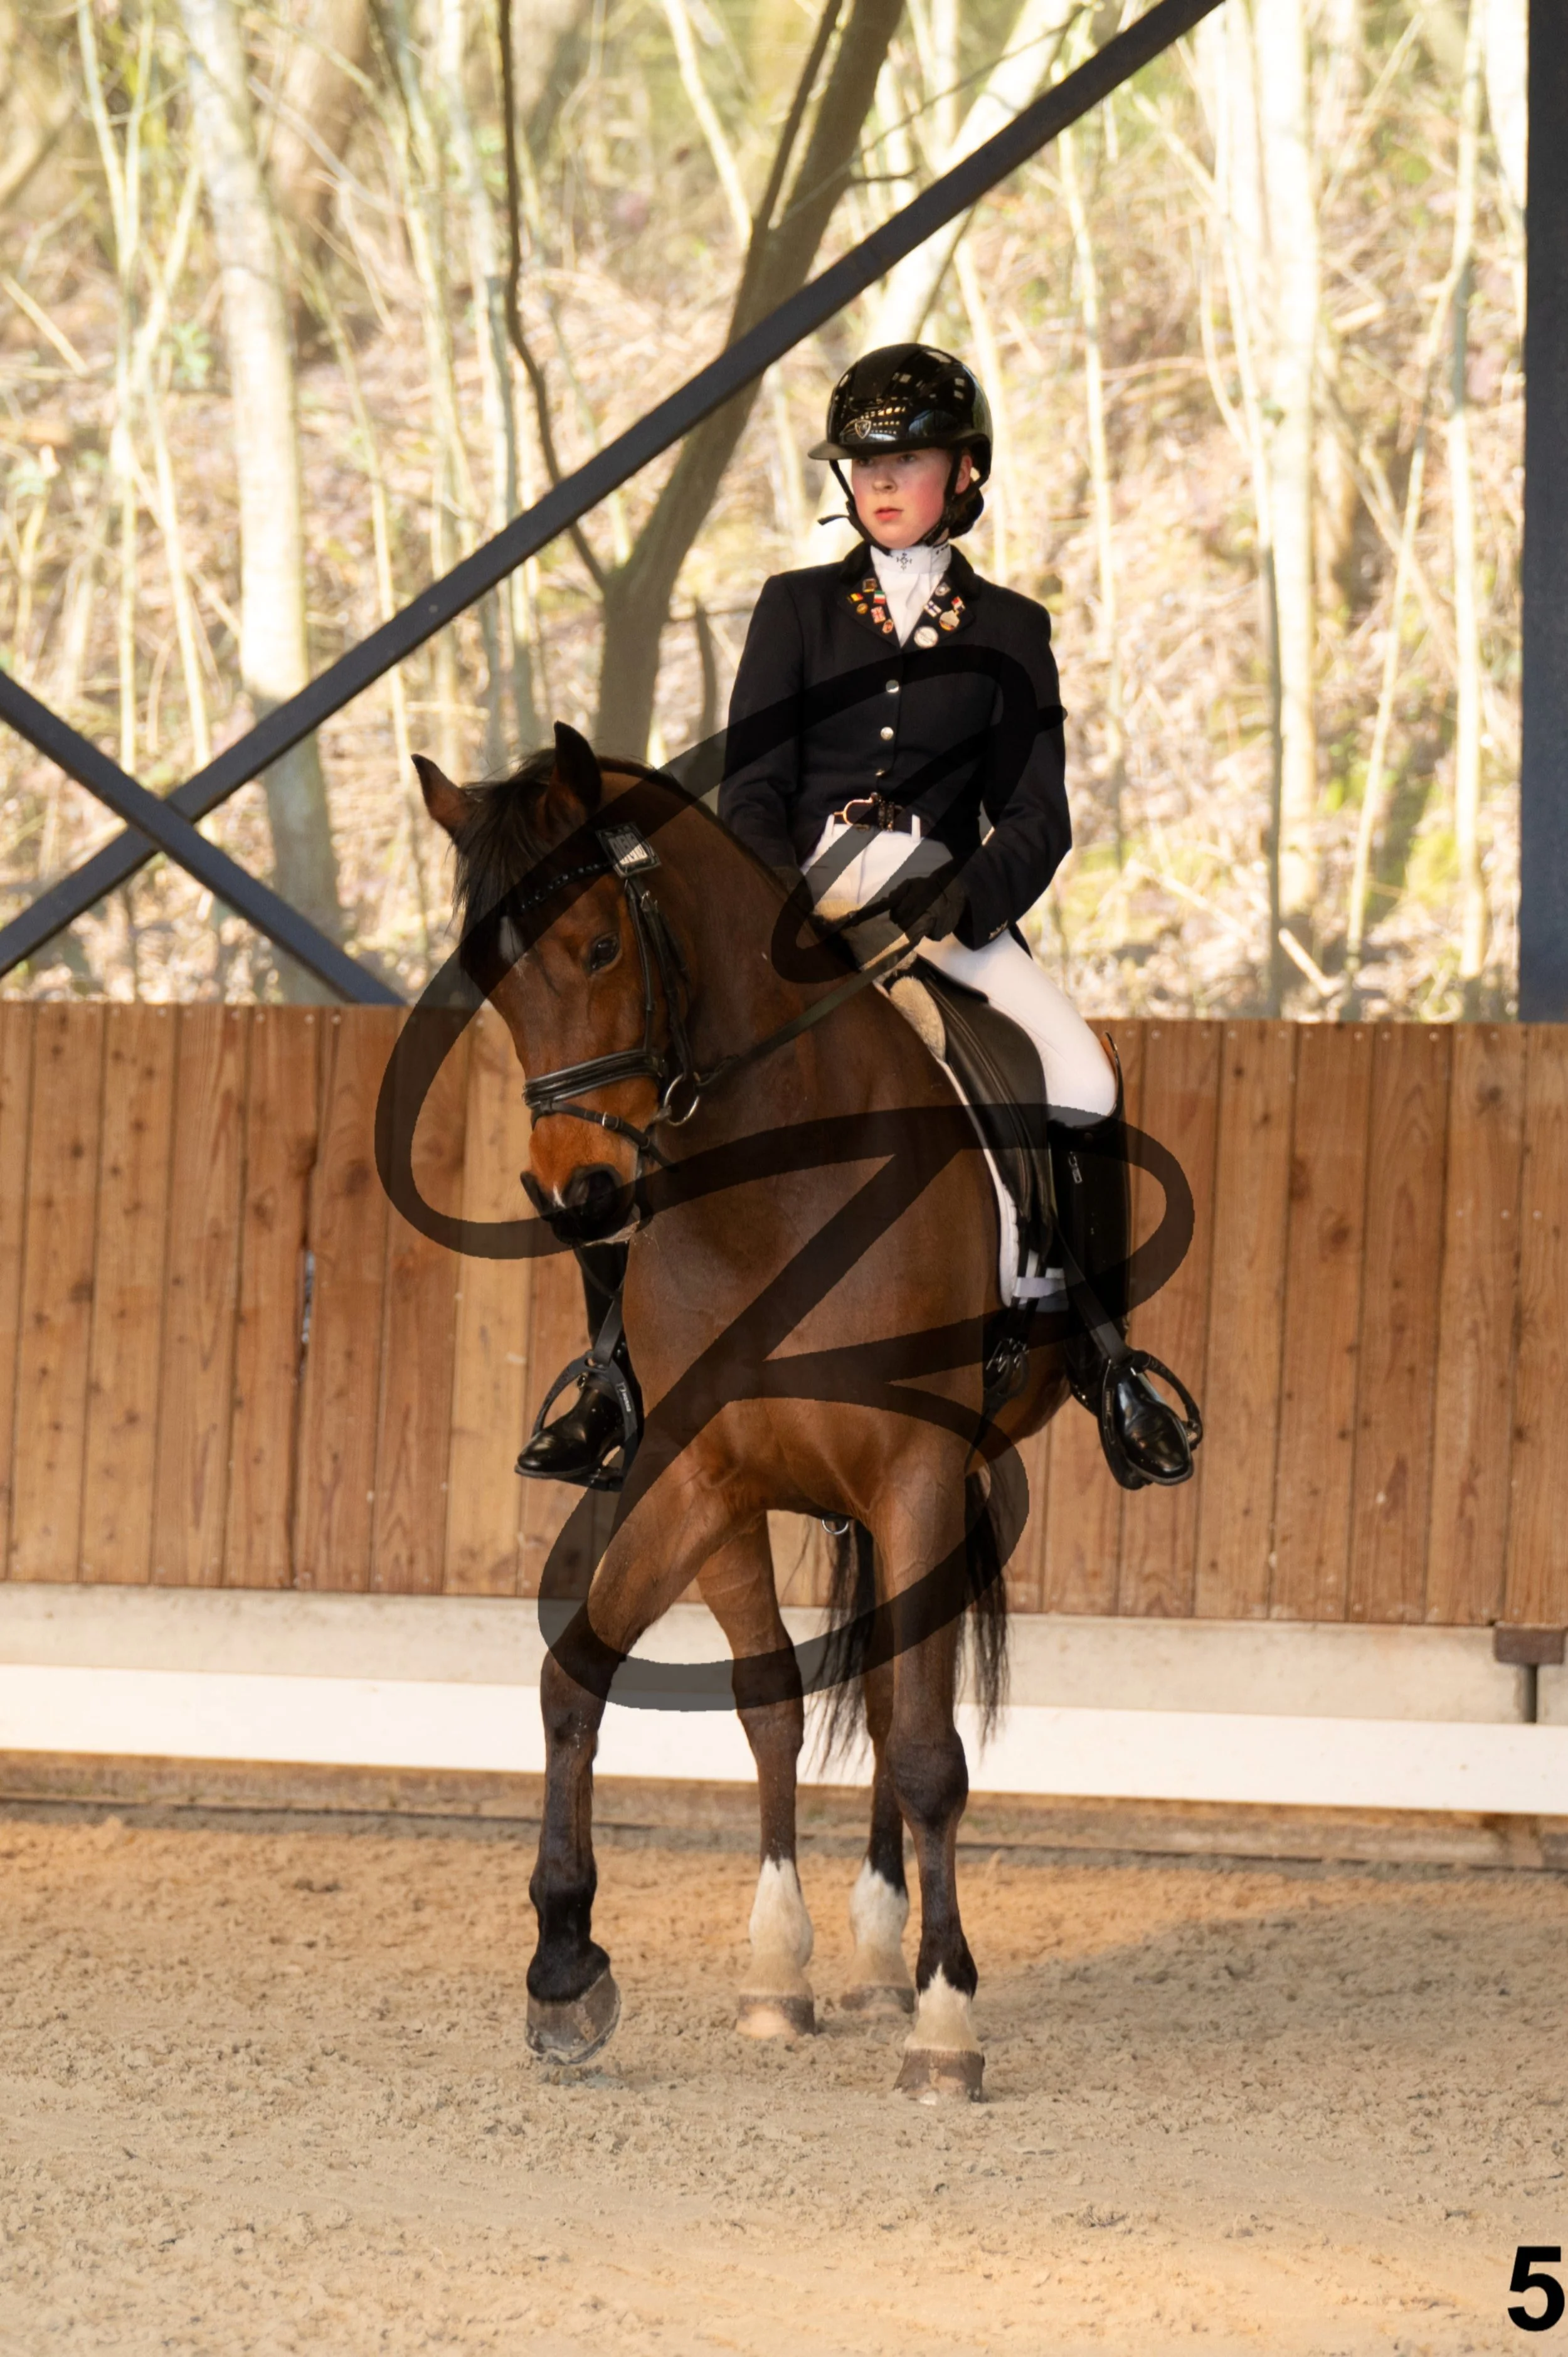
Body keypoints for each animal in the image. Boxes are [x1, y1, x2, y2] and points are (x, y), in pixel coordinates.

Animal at [415, 721, 1078, 2102]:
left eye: (599, 945)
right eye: (490, 980)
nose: (576, 1193)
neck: (778, 1184)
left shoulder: (920, 1471)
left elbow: (927, 1745)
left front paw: (948, 2022)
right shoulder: (702, 1477)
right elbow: (615, 1677)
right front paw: (574, 1965)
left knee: (907, 1705)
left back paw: (898, 1960)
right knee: (841, 1691)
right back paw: (849, 1954)